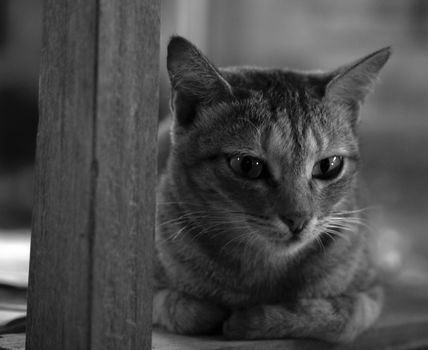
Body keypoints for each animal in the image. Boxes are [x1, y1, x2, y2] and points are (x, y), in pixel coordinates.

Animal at [154, 34, 392, 342]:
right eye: (247, 165)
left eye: (329, 166)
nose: (298, 220)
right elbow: (183, 309)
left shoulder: (370, 294)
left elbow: (338, 317)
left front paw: (254, 320)